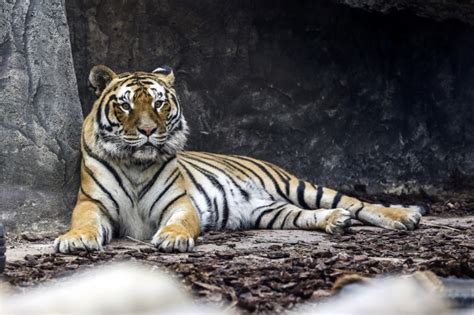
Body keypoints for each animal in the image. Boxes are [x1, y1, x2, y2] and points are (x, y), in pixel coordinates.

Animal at [53, 65, 424, 254]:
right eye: (126, 104)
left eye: (159, 103)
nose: (147, 131)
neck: (136, 164)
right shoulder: (91, 204)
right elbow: (84, 223)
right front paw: (75, 240)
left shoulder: (179, 204)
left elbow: (179, 223)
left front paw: (173, 238)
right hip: (267, 211)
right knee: (305, 214)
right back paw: (335, 222)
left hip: (297, 185)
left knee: (356, 203)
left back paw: (405, 215)